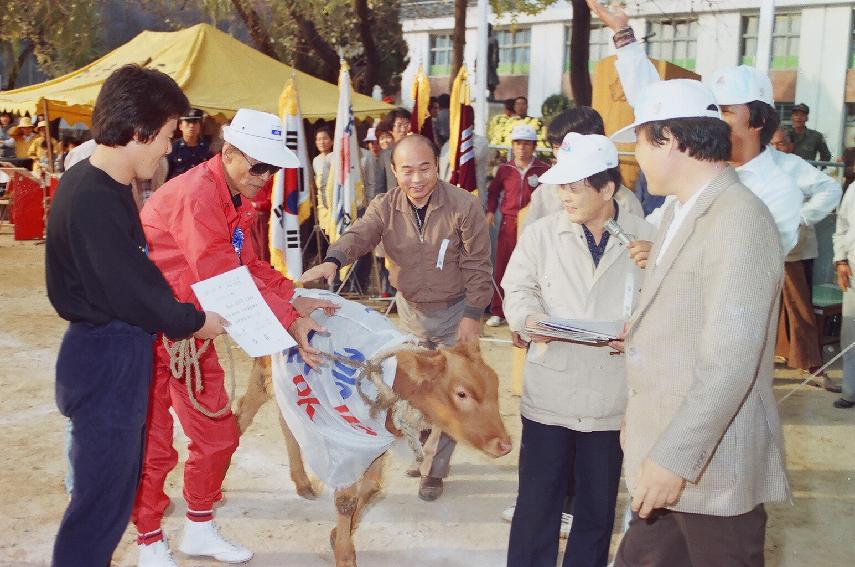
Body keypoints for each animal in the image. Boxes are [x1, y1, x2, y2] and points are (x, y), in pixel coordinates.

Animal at [234, 342, 512, 567]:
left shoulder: (377, 443)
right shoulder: (348, 439)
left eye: (496, 387)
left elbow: (370, 488)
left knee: (286, 421)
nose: (505, 445)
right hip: (266, 374)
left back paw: (303, 483)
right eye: (462, 393)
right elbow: (346, 498)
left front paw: (338, 534)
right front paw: (345, 554)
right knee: (245, 409)